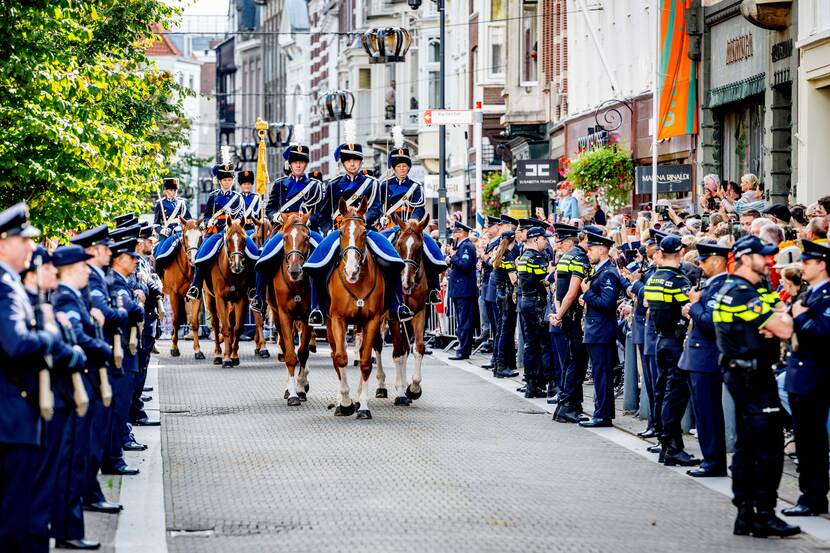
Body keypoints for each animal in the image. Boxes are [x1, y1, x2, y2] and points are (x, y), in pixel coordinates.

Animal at [162, 216, 207, 358]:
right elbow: (176, 321)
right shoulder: (173, 295)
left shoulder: (196, 294)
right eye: (186, 236)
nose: (194, 260)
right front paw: (174, 348)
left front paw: (198, 350)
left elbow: (194, 322)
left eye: (200, 236)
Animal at [206, 219, 254, 366]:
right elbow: (225, 327)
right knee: (216, 324)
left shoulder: (241, 299)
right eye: (228, 240)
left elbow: (237, 327)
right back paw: (217, 354)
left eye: (244, 240)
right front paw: (226, 358)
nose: (237, 266)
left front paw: (234, 356)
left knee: (231, 322)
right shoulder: (220, 298)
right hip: (210, 298)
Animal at [326, 197, 388, 418]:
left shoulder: (373, 320)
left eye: (364, 232)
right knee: (335, 356)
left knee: (364, 354)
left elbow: (366, 362)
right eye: (341, 232)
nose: (351, 270)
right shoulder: (338, 319)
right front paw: (345, 403)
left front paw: (363, 406)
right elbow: (340, 358)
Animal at [374, 211, 432, 406]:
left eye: (420, 247)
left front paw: (413, 388)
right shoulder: (393, 316)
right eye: (399, 244)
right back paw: (381, 385)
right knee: (377, 345)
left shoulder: (418, 313)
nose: (406, 282)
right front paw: (400, 391)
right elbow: (398, 351)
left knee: (406, 347)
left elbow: (417, 347)